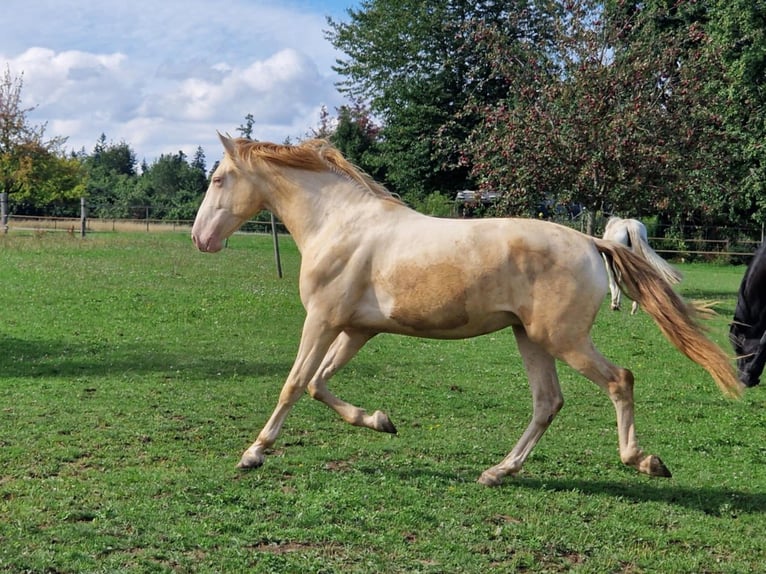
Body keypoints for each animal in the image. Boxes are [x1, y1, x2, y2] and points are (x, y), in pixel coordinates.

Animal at [191, 135, 742, 486]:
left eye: (217, 179)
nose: (201, 239)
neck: (340, 224)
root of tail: (592, 242)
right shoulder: (356, 329)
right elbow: (317, 384)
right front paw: (381, 421)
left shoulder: (323, 321)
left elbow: (292, 384)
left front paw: (253, 453)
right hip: (530, 338)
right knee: (548, 402)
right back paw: (499, 471)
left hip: (563, 339)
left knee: (619, 380)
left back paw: (645, 461)